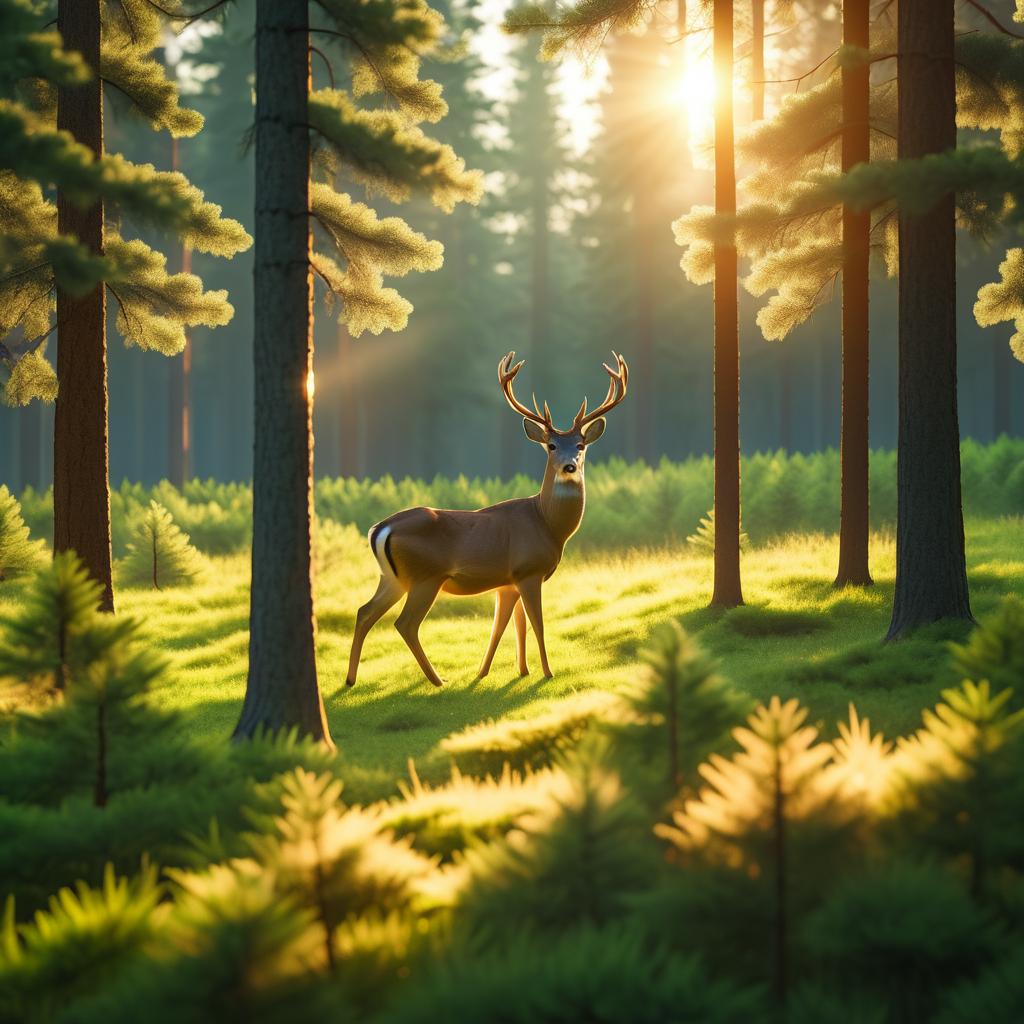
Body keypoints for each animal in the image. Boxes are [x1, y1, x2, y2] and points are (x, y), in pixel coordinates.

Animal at [348, 348, 626, 692]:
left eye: (581, 445)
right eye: (551, 446)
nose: (570, 466)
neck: (548, 525)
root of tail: (379, 528)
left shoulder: (508, 581)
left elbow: (506, 626)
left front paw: (506, 671)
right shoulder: (529, 570)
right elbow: (537, 624)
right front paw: (547, 673)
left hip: (393, 577)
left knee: (364, 612)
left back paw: (350, 679)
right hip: (426, 576)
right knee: (405, 623)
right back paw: (437, 680)